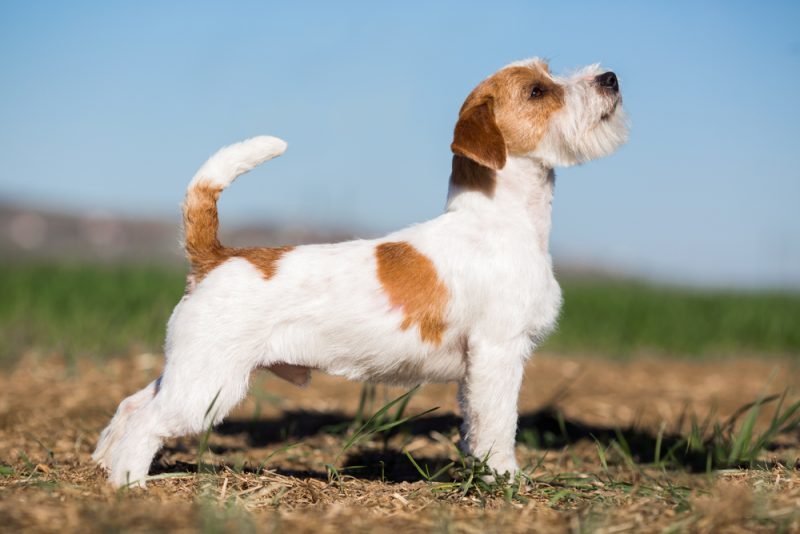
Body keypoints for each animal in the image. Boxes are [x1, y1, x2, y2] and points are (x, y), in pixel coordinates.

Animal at [94, 58, 628, 490]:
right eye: (537, 91)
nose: (610, 78)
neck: (499, 217)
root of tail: (216, 257)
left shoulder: (477, 367)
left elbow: (474, 424)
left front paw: (480, 472)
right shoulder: (499, 353)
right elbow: (498, 423)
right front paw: (504, 479)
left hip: (188, 370)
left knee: (132, 404)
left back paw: (102, 462)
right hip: (208, 385)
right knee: (147, 422)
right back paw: (128, 482)